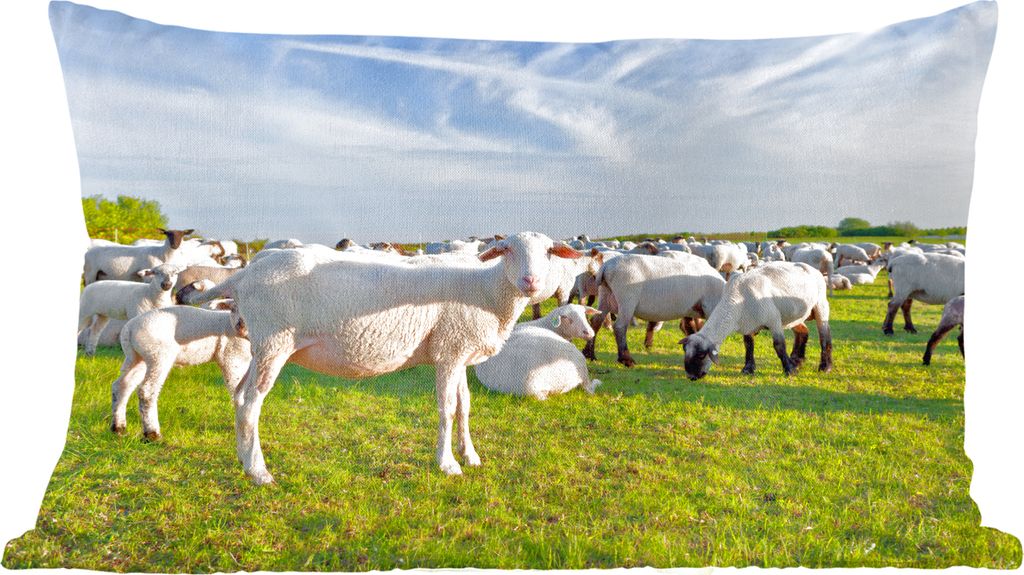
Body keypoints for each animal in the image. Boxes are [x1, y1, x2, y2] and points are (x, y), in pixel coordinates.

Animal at [110, 302, 251, 441]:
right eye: (234, 308)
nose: (241, 326)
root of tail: (129, 329)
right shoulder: (232, 357)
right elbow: (239, 393)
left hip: (137, 357)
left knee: (122, 385)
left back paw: (118, 428)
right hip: (159, 354)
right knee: (147, 390)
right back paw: (152, 434)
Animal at [179, 231, 583, 483]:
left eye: (549, 253)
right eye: (509, 250)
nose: (531, 282)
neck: (485, 290)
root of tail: (243, 275)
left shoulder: (459, 350)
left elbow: (465, 406)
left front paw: (470, 455)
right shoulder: (449, 351)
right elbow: (447, 409)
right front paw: (448, 464)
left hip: (261, 343)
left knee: (239, 395)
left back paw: (242, 457)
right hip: (274, 340)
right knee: (251, 403)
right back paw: (259, 472)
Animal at [582, 252, 725, 367]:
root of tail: (606, 267)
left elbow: (691, 328)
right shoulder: (710, 307)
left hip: (605, 295)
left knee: (596, 321)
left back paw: (589, 355)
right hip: (627, 298)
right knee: (620, 327)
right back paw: (626, 359)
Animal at [680, 262, 833, 379]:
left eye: (701, 355)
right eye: (684, 350)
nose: (691, 377)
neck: (736, 298)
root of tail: (814, 269)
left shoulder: (773, 319)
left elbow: (779, 346)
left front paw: (789, 370)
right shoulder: (748, 324)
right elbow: (748, 345)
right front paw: (748, 369)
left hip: (820, 305)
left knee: (824, 337)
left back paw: (825, 367)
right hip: (793, 316)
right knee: (803, 332)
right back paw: (797, 360)